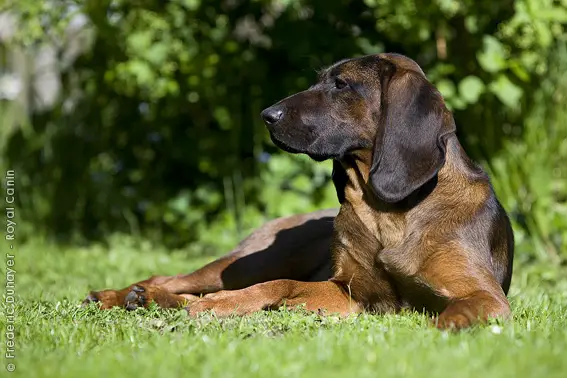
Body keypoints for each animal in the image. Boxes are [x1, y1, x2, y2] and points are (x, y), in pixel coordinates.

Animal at [84, 52, 516, 328]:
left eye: (341, 84)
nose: (267, 115)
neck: (388, 212)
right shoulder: (350, 292)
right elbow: (280, 285)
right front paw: (228, 303)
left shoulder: (484, 295)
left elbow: (456, 313)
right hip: (249, 261)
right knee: (172, 277)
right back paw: (123, 295)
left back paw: (148, 299)